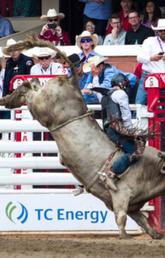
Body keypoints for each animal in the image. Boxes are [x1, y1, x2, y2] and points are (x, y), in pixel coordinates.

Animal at [0, 38, 165, 240]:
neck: (151, 168)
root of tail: (72, 82)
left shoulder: (134, 207)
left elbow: (143, 221)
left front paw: (156, 235)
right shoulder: (122, 195)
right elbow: (121, 217)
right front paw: (124, 236)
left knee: (33, 84)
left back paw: (9, 99)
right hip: (41, 105)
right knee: (30, 88)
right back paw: (10, 97)